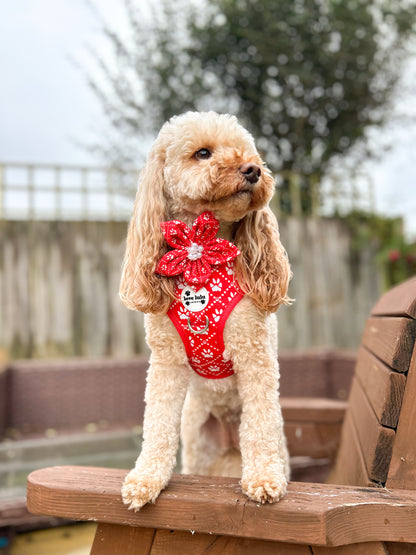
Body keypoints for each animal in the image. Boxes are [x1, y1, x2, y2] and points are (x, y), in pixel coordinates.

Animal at [118, 111, 290, 510]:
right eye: (202, 153)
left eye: (247, 151)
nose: (252, 170)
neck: (201, 254)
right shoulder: (166, 362)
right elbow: (157, 425)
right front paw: (146, 479)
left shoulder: (255, 355)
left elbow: (260, 424)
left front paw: (263, 479)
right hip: (198, 441)